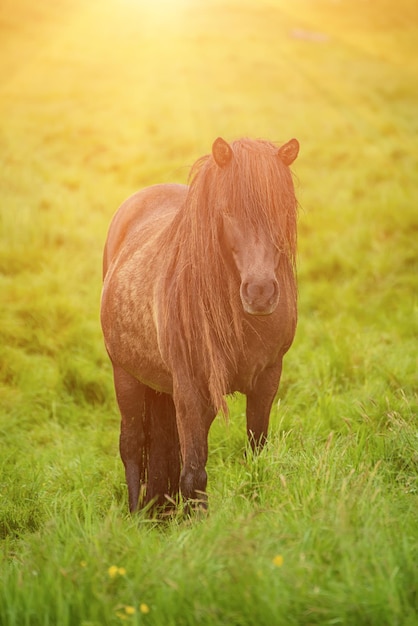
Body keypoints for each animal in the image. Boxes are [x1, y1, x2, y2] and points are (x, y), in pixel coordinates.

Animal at [100, 134, 298, 510]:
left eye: (282, 209)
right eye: (226, 210)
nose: (260, 292)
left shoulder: (268, 379)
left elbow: (257, 454)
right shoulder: (191, 389)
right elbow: (194, 475)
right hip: (125, 376)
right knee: (131, 447)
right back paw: (135, 515)